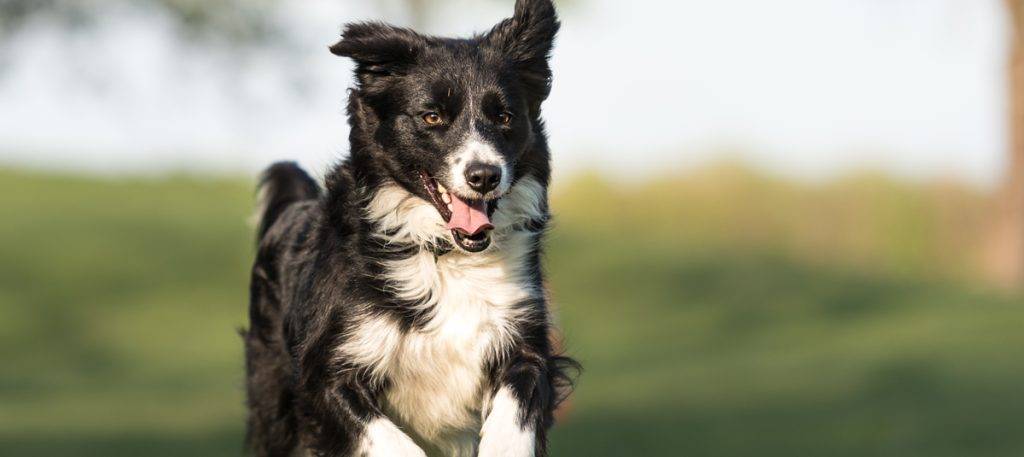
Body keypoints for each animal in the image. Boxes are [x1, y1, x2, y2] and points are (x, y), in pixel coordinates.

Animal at [240, 0, 577, 457]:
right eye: (432, 116)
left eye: (504, 116)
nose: (484, 175)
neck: (444, 255)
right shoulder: (324, 372)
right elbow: (390, 440)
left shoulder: (523, 336)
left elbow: (517, 410)